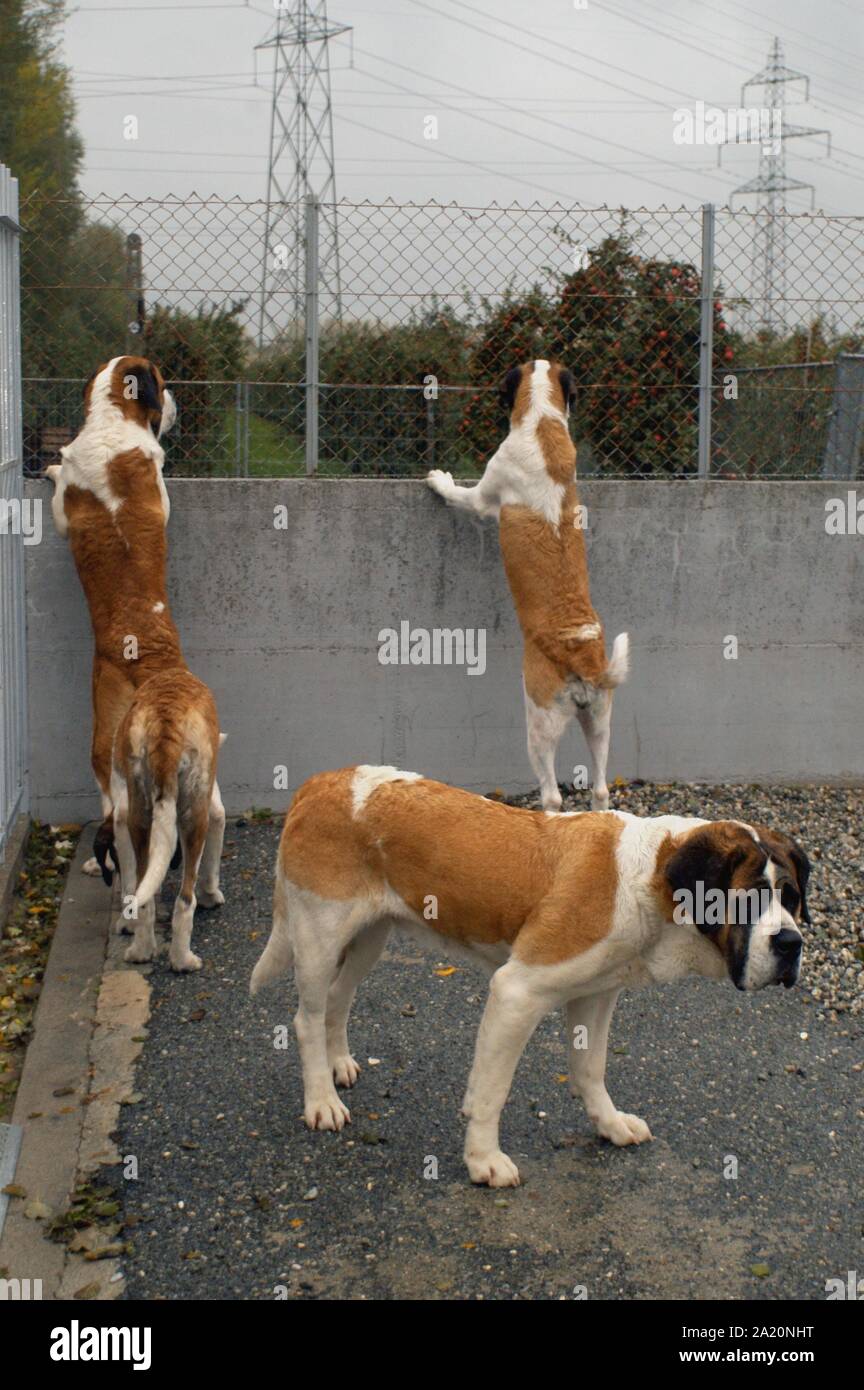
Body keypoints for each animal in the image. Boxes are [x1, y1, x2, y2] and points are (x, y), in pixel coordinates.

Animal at [47, 353, 226, 973]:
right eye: (165, 384)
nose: (176, 403)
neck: (110, 422)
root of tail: (146, 662)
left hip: (111, 751)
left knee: (124, 833)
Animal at [250, 767, 811, 1189]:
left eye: (791, 898)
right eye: (747, 899)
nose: (791, 944)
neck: (648, 879)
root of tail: (322, 782)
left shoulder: (596, 995)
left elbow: (589, 1069)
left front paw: (609, 1125)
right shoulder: (517, 992)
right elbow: (492, 1089)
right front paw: (483, 1161)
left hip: (370, 937)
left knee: (339, 998)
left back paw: (339, 1064)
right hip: (319, 935)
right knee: (306, 1017)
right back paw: (322, 1101)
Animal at [427, 355, 630, 811]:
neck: (543, 422)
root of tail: (581, 656)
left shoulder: (483, 496)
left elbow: (463, 495)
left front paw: (439, 480)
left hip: (538, 725)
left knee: (552, 794)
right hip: (601, 722)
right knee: (601, 787)